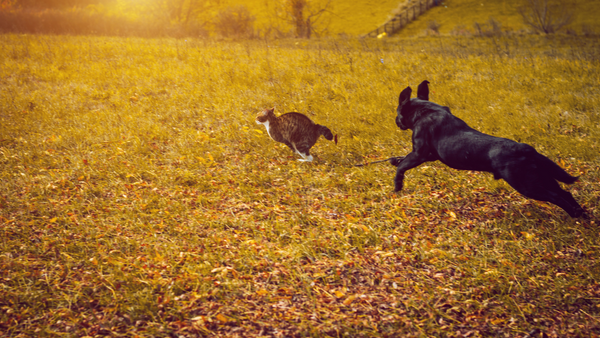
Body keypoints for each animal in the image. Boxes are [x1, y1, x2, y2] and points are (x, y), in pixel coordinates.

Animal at [390, 80, 584, 218]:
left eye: (397, 112)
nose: (396, 121)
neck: (426, 110)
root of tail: (525, 149)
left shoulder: (419, 154)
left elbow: (402, 167)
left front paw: (397, 185)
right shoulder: (429, 155)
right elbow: (402, 160)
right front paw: (395, 160)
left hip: (526, 184)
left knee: (556, 197)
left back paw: (574, 215)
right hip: (541, 177)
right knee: (565, 193)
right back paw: (581, 215)